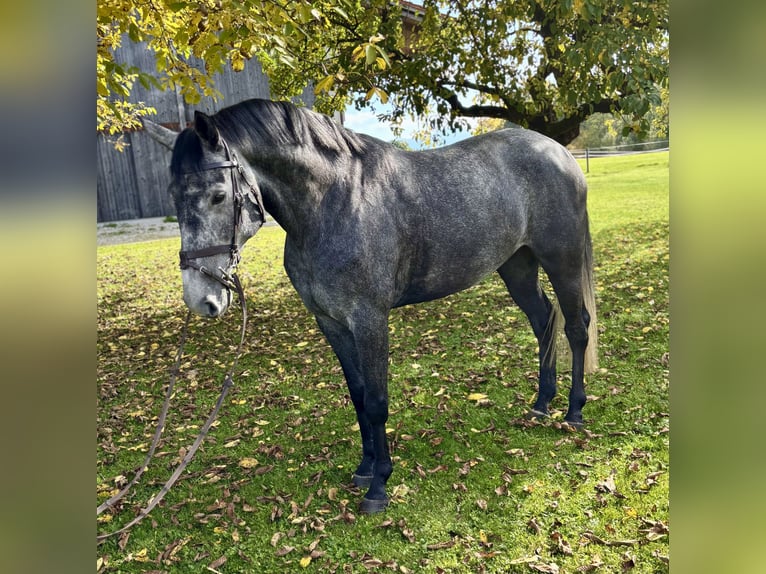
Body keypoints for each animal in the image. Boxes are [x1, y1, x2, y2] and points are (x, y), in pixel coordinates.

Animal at [144, 98, 598, 513]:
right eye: (173, 196)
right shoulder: (331, 322)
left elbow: (378, 402)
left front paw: (379, 486)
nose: (200, 299)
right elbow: (359, 396)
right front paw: (364, 468)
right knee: (543, 320)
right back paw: (541, 403)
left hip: (562, 261)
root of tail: (558, 152)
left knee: (576, 327)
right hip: (517, 266)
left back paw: (573, 412)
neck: (333, 203)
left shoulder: (369, 320)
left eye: (219, 195)